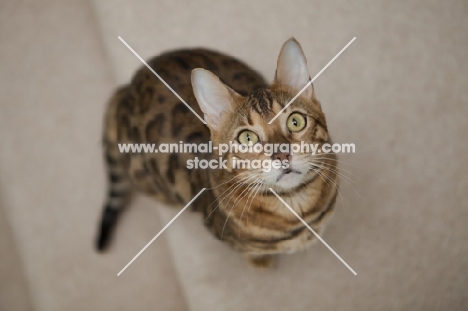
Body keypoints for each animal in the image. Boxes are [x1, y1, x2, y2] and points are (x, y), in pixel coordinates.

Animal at [96, 37, 336, 270]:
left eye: (296, 121)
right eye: (247, 138)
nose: (282, 155)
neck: (298, 207)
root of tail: (126, 90)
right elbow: (253, 253)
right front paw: (261, 262)